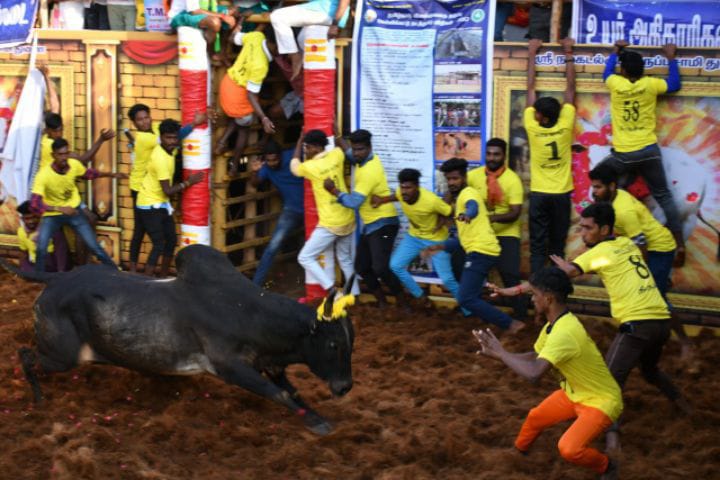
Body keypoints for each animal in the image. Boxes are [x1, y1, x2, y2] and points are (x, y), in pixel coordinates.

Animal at [7, 244, 354, 436]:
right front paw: (315, 424)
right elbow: (279, 394)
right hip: (63, 357)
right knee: (25, 354)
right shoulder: (229, 367)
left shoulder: (269, 364)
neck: (251, 314)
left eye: (351, 342)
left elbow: (292, 392)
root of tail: (55, 278)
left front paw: (317, 418)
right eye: (334, 344)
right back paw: (38, 397)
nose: (344, 387)